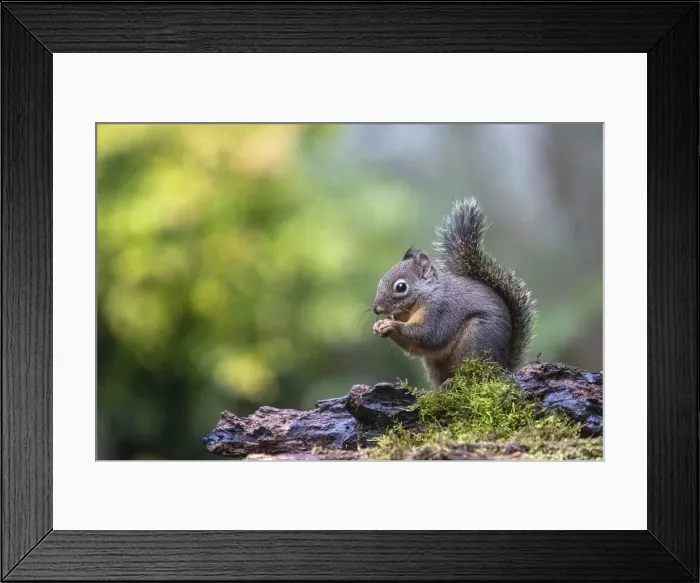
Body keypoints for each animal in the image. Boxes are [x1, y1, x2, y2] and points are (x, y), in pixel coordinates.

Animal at [372, 197, 536, 388]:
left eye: (400, 287)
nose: (376, 309)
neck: (425, 296)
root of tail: (503, 366)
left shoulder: (440, 310)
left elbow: (428, 335)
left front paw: (390, 324)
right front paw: (379, 325)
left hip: (475, 341)